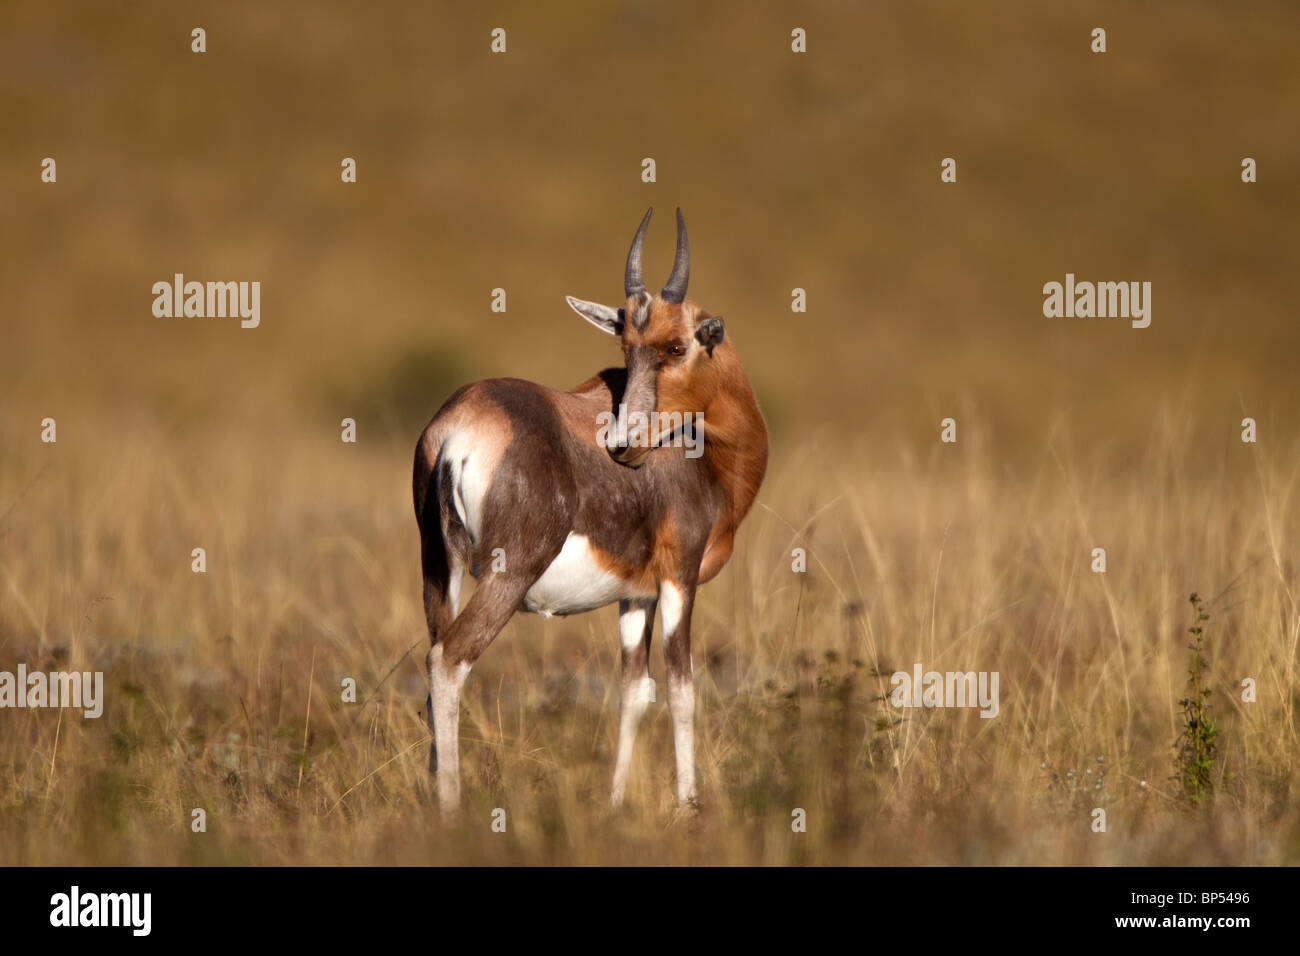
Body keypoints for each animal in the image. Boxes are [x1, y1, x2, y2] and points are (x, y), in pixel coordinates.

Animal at [410, 208, 764, 816]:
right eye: (627, 348)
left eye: (675, 347)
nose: (622, 445)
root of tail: (459, 426)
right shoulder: (679, 576)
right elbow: (681, 688)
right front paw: (687, 806)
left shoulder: (635, 594)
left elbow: (633, 692)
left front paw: (616, 802)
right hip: (509, 575)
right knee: (448, 662)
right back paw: (451, 809)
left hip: (440, 571)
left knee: (433, 669)